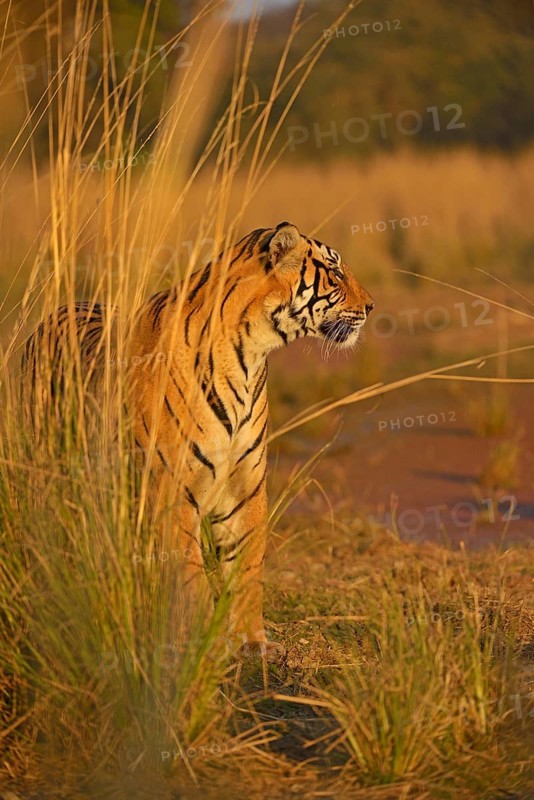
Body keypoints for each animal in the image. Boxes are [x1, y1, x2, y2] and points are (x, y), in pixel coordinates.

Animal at [22, 221, 373, 659]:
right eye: (336, 273)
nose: (372, 306)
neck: (250, 355)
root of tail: (54, 313)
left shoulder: (245, 487)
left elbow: (248, 568)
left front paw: (254, 642)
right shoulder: (171, 489)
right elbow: (190, 573)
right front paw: (204, 641)